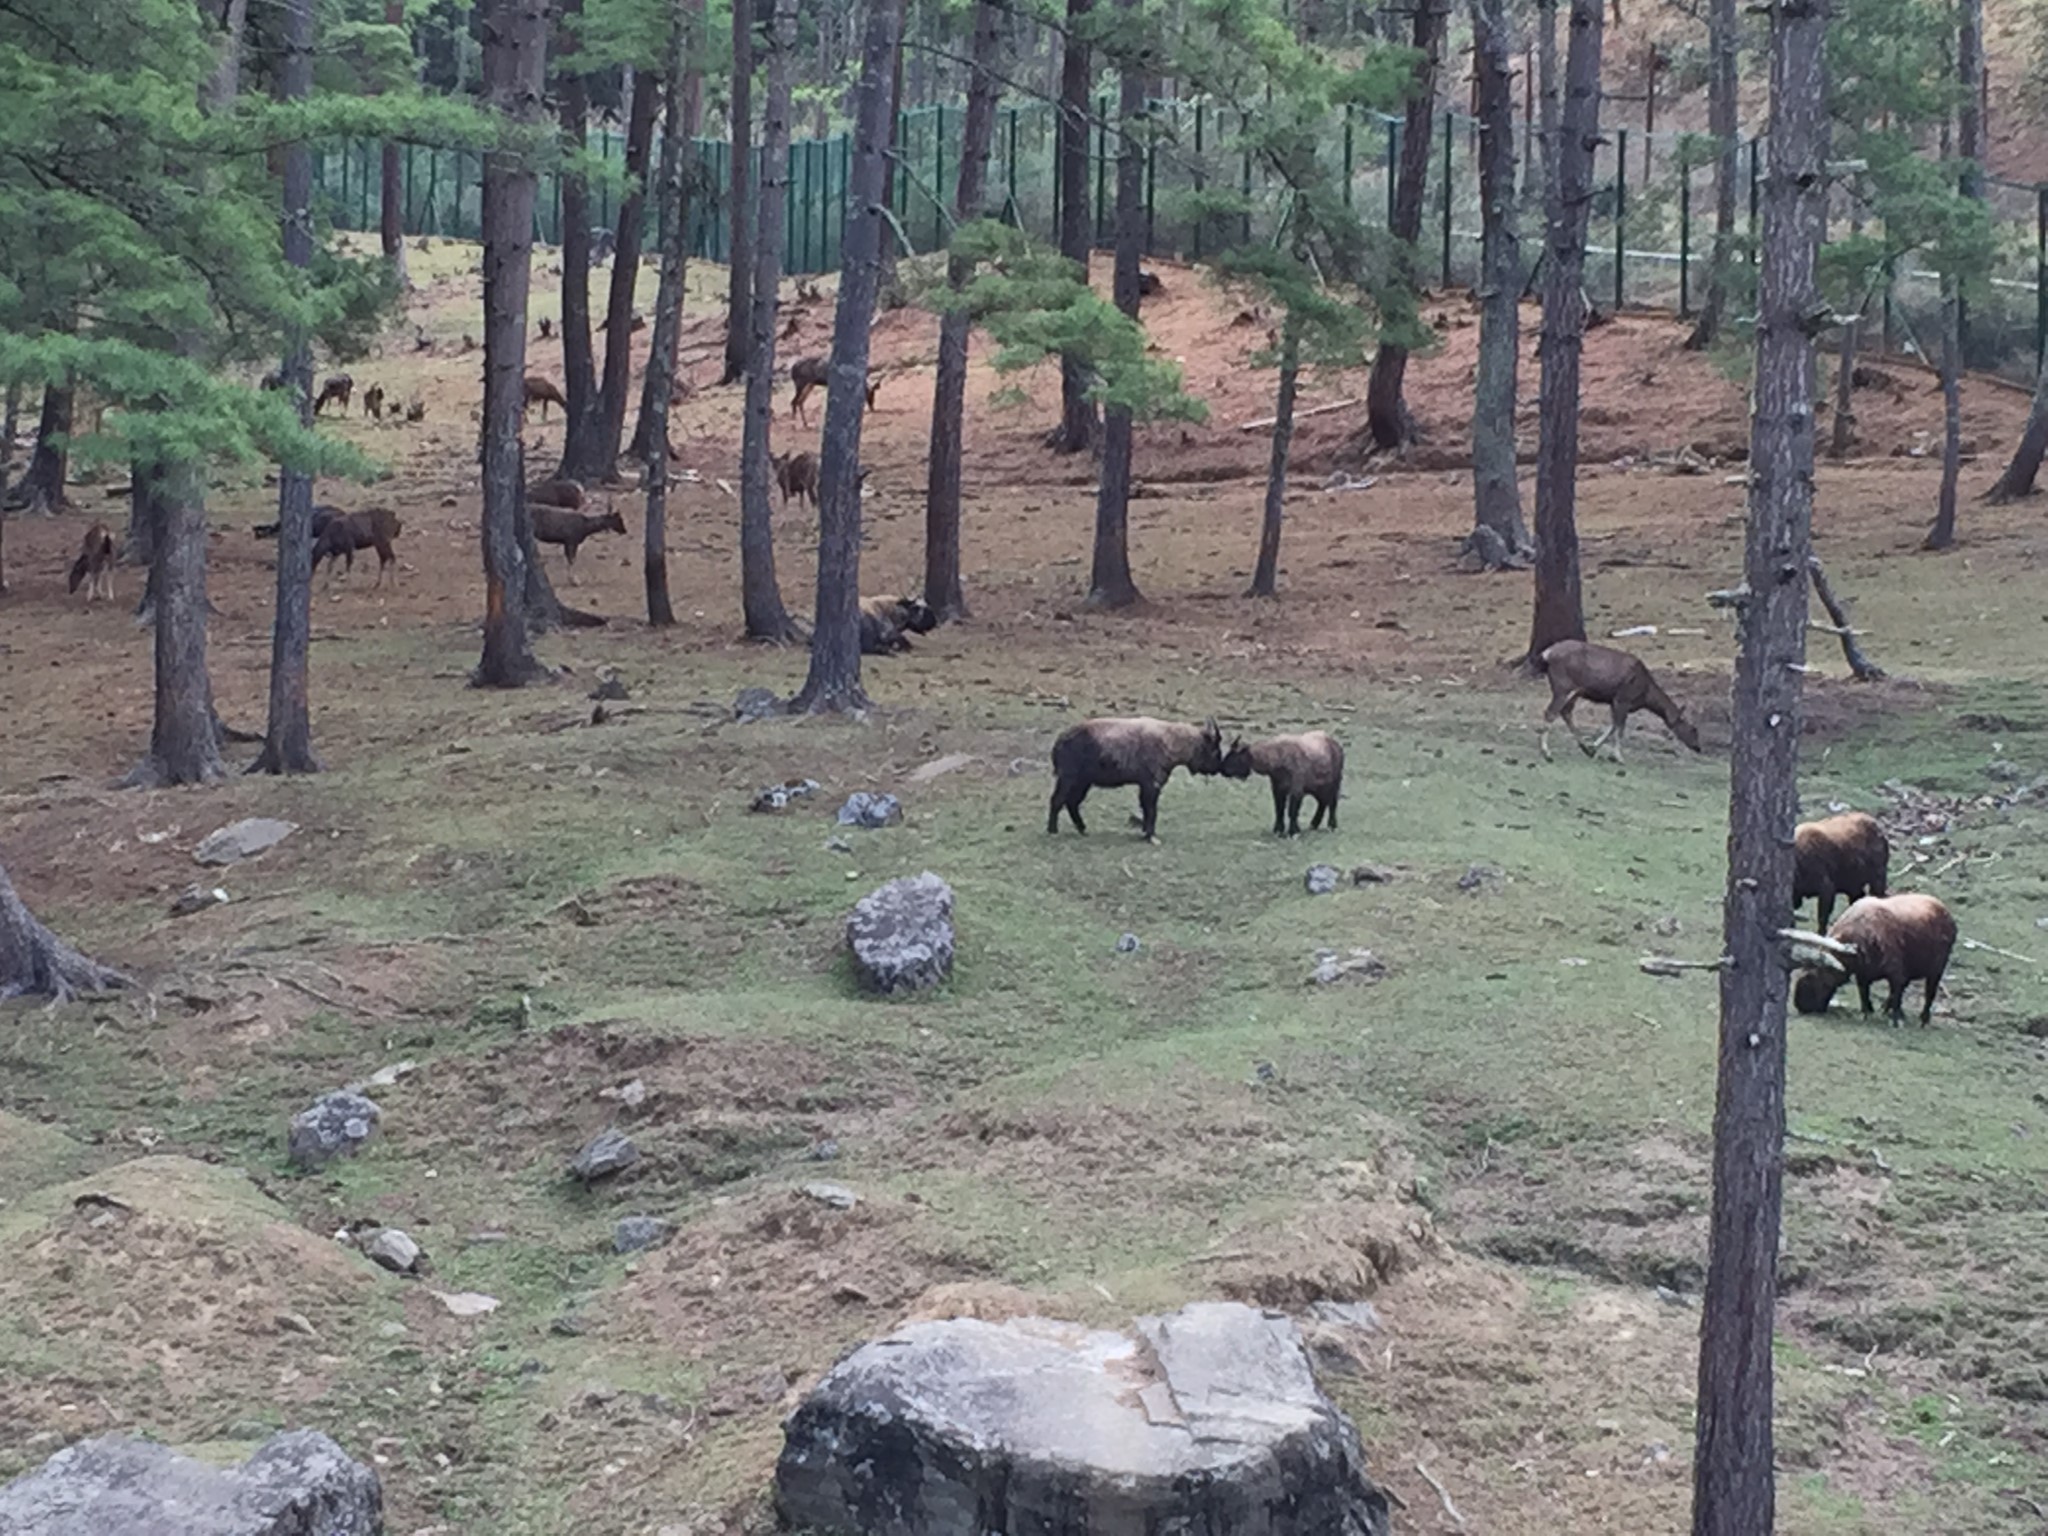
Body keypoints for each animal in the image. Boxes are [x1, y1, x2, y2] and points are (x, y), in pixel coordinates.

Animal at [1048, 720, 1220, 847]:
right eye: (1215, 749)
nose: (1217, 769)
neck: (1171, 739)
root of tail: (1059, 741)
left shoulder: (1145, 786)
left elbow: (1146, 809)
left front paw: (1145, 833)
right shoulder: (1152, 785)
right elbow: (1151, 810)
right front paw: (1151, 836)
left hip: (1082, 783)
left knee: (1072, 803)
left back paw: (1082, 829)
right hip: (1069, 779)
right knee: (1057, 801)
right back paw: (1052, 831)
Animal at [1540, 638, 1695, 765]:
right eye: (1692, 729)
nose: (1697, 747)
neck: (1645, 695)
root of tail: (1547, 653)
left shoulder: (1614, 702)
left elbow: (1613, 725)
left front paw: (1593, 748)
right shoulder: (1622, 699)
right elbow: (1620, 729)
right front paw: (1618, 757)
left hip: (1575, 691)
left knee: (1565, 711)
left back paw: (1583, 747)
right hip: (1563, 686)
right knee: (1551, 712)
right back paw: (1547, 753)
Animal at [1794, 897, 1966, 1028]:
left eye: (1810, 978)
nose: (1800, 1007)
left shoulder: (1895, 970)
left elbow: (1896, 993)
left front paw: (1895, 1019)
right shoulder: (1864, 972)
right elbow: (1864, 992)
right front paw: (1867, 1012)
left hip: (1937, 969)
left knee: (1929, 993)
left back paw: (1923, 1019)